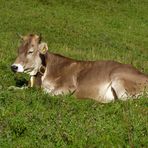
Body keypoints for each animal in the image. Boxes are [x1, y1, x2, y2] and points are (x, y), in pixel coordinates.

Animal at [11, 33, 148, 103]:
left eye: (30, 51)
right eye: (18, 50)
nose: (14, 67)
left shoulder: (69, 86)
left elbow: (48, 93)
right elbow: (15, 88)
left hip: (119, 79)